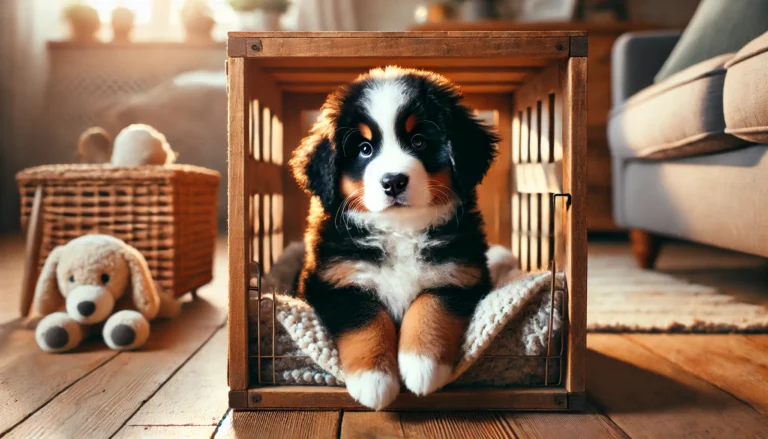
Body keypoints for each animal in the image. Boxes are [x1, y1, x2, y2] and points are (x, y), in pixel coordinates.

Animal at [288, 66, 498, 412]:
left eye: (419, 141)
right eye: (365, 149)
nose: (393, 181)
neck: (400, 230)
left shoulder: (461, 273)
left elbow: (431, 305)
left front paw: (422, 365)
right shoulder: (336, 280)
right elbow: (366, 319)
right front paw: (374, 379)